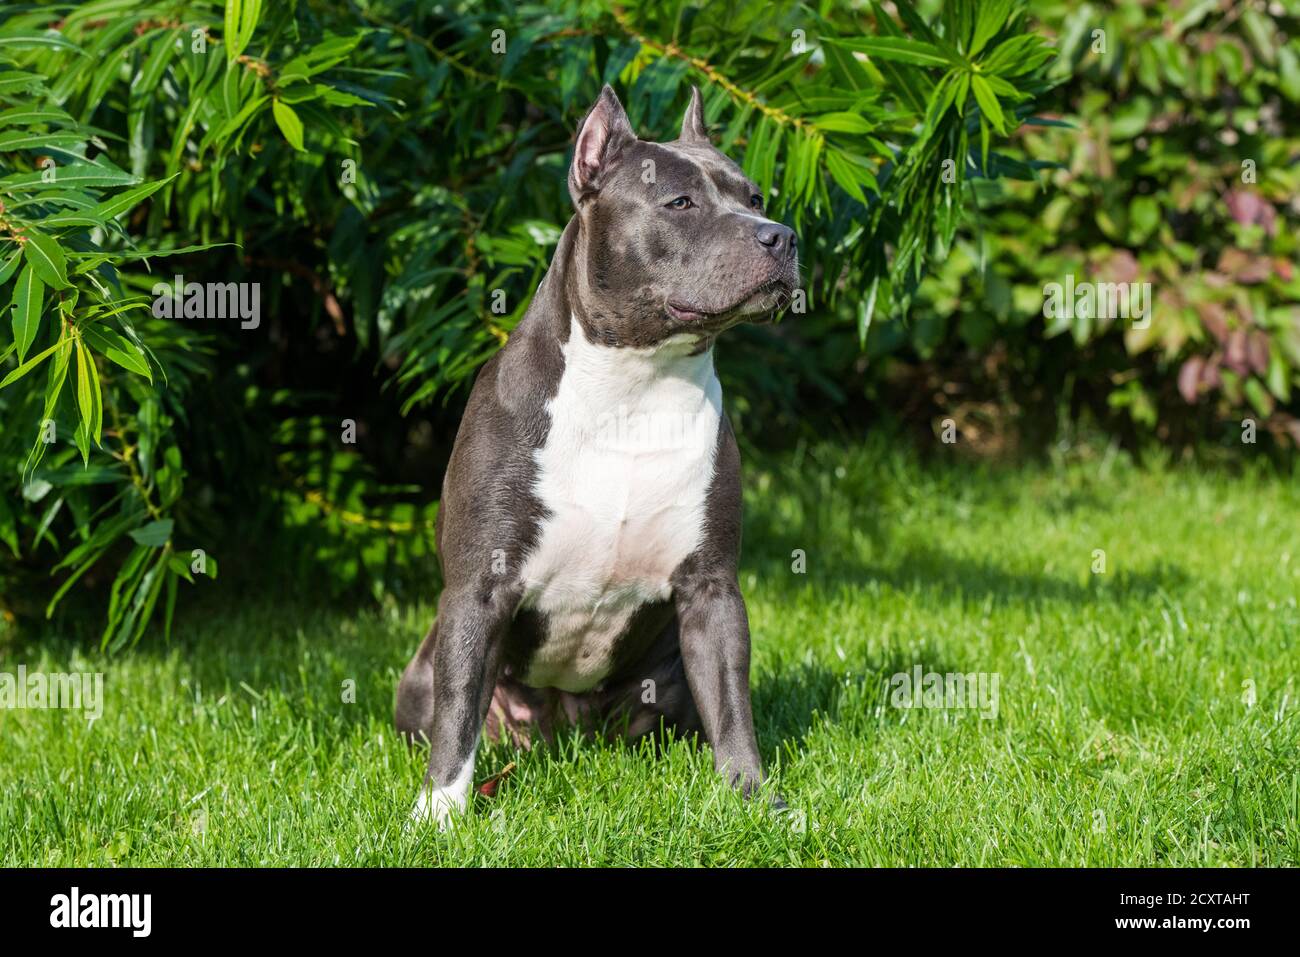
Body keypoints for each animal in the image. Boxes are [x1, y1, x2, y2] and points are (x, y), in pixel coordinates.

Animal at [397, 85, 800, 826]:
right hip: (421, 673)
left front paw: (753, 798)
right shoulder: (480, 587)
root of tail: (565, 731)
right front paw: (438, 812)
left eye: (756, 197)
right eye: (680, 202)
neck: (634, 385)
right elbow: (458, 710)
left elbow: (733, 707)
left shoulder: (711, 589)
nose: (781, 235)